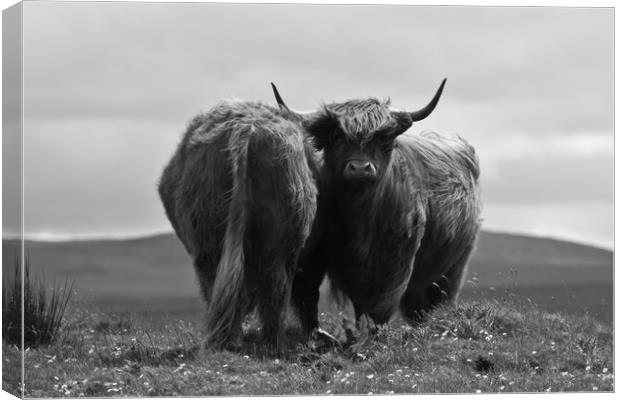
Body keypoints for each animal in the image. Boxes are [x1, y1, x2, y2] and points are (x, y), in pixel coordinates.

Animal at [157, 100, 318, 350]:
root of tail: (246, 130)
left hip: (211, 240)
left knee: (228, 286)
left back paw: (234, 340)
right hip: (275, 242)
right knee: (272, 287)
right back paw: (268, 342)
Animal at [274, 80, 482, 334]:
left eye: (382, 138)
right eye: (337, 136)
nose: (360, 168)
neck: (361, 218)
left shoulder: (396, 262)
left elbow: (381, 305)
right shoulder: (330, 260)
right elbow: (335, 301)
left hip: (454, 266)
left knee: (441, 299)